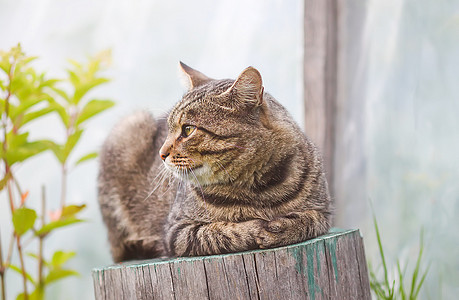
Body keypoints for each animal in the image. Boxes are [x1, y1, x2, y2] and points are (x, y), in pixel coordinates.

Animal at [99, 62, 332, 262]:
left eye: (188, 129)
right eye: (169, 129)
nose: (161, 153)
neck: (259, 189)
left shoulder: (324, 211)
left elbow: (310, 220)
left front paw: (281, 226)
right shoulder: (176, 231)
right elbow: (220, 231)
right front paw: (256, 228)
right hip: (128, 128)